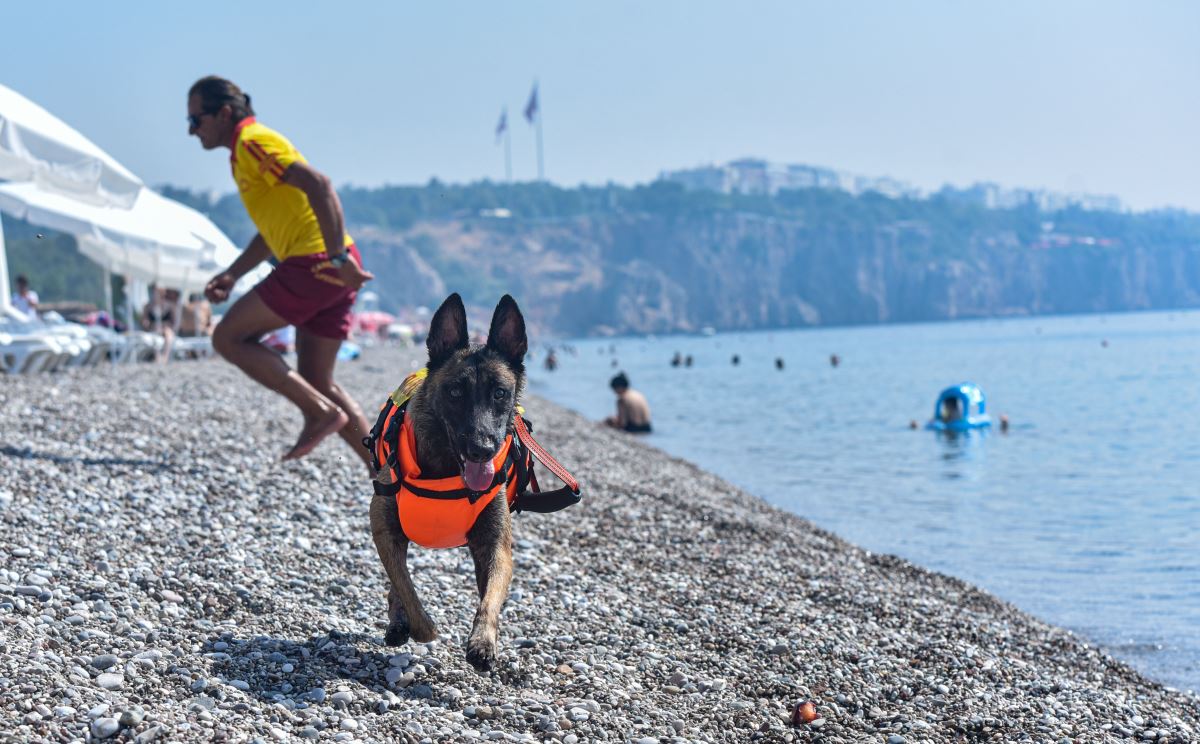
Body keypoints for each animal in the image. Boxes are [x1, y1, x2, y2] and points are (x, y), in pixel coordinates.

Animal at [367, 291, 532, 672]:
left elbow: (490, 599)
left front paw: (483, 642)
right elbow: (404, 585)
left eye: (500, 393)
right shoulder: (384, 527)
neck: (446, 469)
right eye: (456, 392)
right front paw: (422, 627)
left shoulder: (496, 547)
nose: (483, 449)